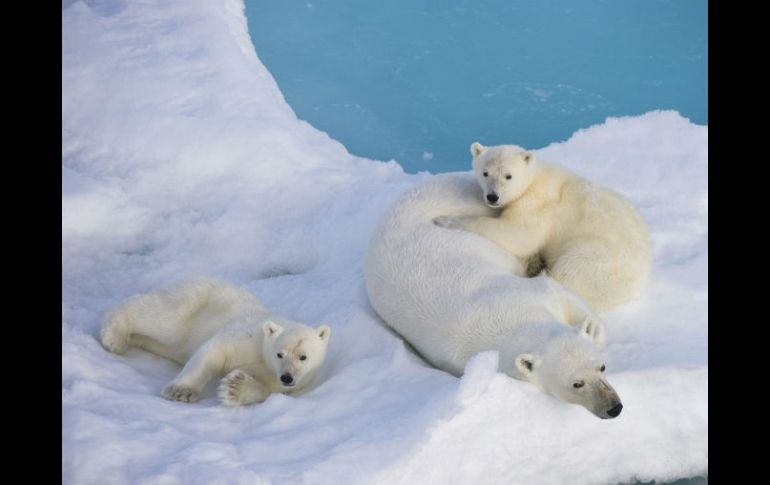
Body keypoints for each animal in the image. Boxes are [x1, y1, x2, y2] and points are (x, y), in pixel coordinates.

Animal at [99, 276, 330, 404]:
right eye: (279, 354)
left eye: (303, 357)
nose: (287, 377)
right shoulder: (246, 334)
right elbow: (214, 350)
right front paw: (181, 391)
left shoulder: (276, 379)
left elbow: (264, 388)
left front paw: (234, 388)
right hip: (192, 302)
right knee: (160, 318)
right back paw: (114, 337)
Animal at [364, 175, 620, 420]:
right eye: (576, 383)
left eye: (602, 367)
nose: (614, 408)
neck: (509, 317)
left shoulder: (533, 292)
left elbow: (563, 294)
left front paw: (592, 329)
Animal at [438, 143, 648, 310]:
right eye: (485, 173)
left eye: (508, 176)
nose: (492, 196)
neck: (534, 177)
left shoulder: (537, 203)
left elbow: (520, 235)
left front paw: (447, 220)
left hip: (599, 257)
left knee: (571, 269)